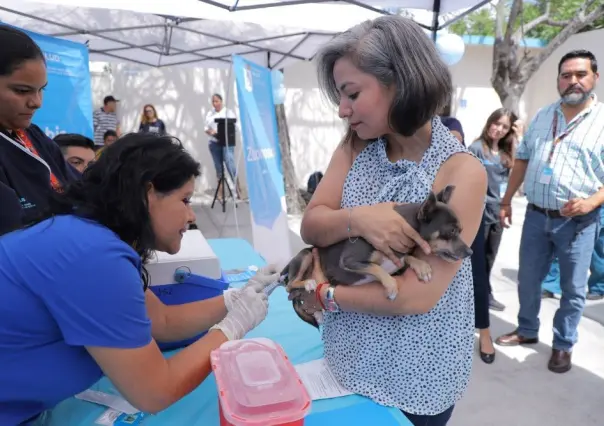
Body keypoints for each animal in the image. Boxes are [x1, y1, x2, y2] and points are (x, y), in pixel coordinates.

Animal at [282, 185, 472, 328]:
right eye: (452, 231)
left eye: (461, 230)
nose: (469, 252)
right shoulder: (350, 261)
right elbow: (376, 267)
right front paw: (391, 286)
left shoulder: (397, 260)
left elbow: (404, 258)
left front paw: (421, 266)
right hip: (305, 256)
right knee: (289, 286)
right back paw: (308, 282)